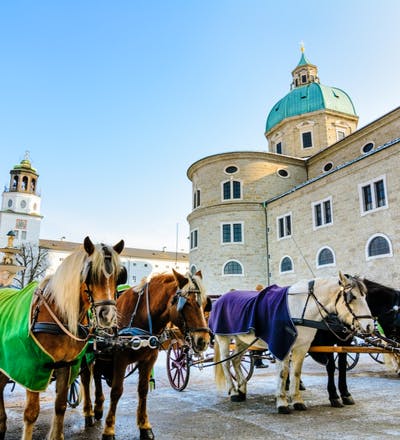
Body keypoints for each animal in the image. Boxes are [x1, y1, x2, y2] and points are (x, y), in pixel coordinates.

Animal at [0, 236, 124, 440]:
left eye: (117, 275)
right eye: (90, 274)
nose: (108, 315)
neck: (58, 314)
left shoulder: (66, 364)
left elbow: (60, 406)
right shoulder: (32, 367)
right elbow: (31, 413)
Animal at [80, 269, 210, 440]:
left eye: (205, 304)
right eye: (187, 303)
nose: (204, 340)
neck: (140, 316)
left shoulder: (149, 359)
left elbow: (143, 390)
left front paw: (144, 426)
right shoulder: (120, 358)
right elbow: (116, 391)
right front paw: (109, 429)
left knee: (96, 373)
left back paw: (98, 407)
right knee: (87, 378)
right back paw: (89, 411)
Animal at [209, 272, 374, 414]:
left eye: (365, 296)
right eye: (352, 297)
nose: (370, 326)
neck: (300, 307)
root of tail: (222, 297)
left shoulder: (301, 347)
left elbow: (295, 372)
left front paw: (297, 400)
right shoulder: (282, 345)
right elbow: (283, 373)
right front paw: (282, 402)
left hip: (242, 340)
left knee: (236, 360)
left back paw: (242, 389)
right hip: (223, 338)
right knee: (226, 363)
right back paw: (233, 391)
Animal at [310, 277, 400, 407]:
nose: (397, 347)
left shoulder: (344, 343)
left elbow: (342, 366)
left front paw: (345, 394)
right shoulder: (328, 343)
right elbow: (331, 367)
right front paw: (334, 396)